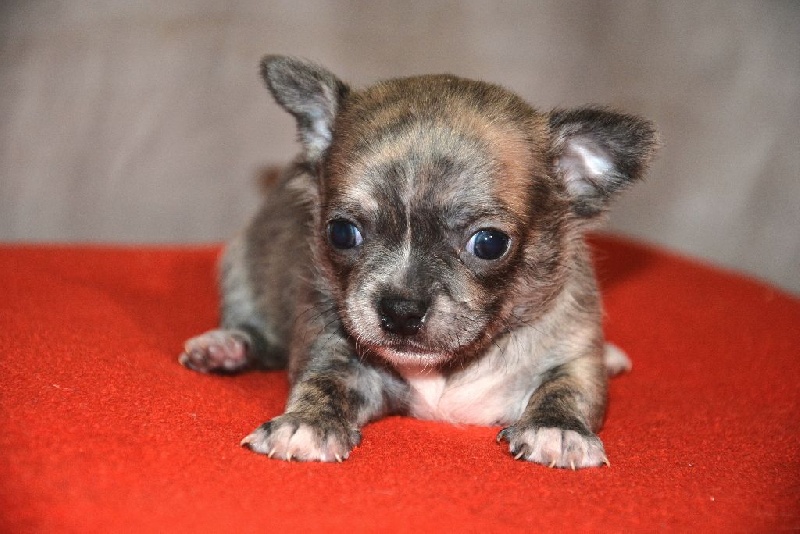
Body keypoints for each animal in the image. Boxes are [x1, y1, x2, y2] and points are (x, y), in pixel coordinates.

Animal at [179, 56, 659, 469]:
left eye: (489, 244)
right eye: (341, 232)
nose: (400, 310)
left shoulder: (572, 353)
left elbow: (568, 389)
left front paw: (557, 430)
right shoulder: (336, 349)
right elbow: (323, 382)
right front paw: (305, 424)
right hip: (243, 265)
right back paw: (226, 345)